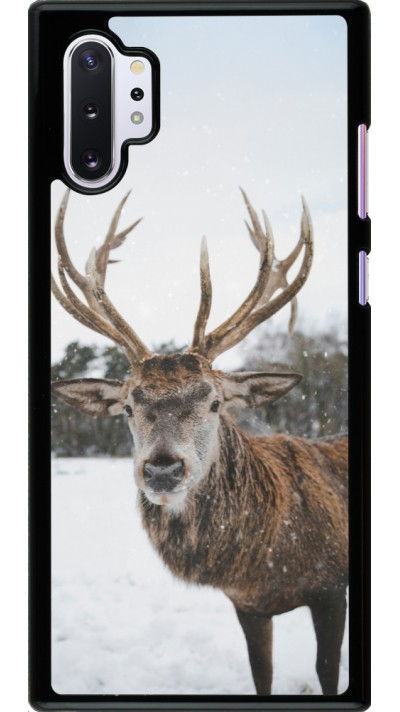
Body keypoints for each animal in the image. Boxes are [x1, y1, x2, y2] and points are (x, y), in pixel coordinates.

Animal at [51, 189, 348, 696]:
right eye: (128, 407)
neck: (266, 563)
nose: (162, 469)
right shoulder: (247, 604)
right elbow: (261, 674)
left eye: (214, 402)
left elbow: (328, 672)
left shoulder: (332, 588)